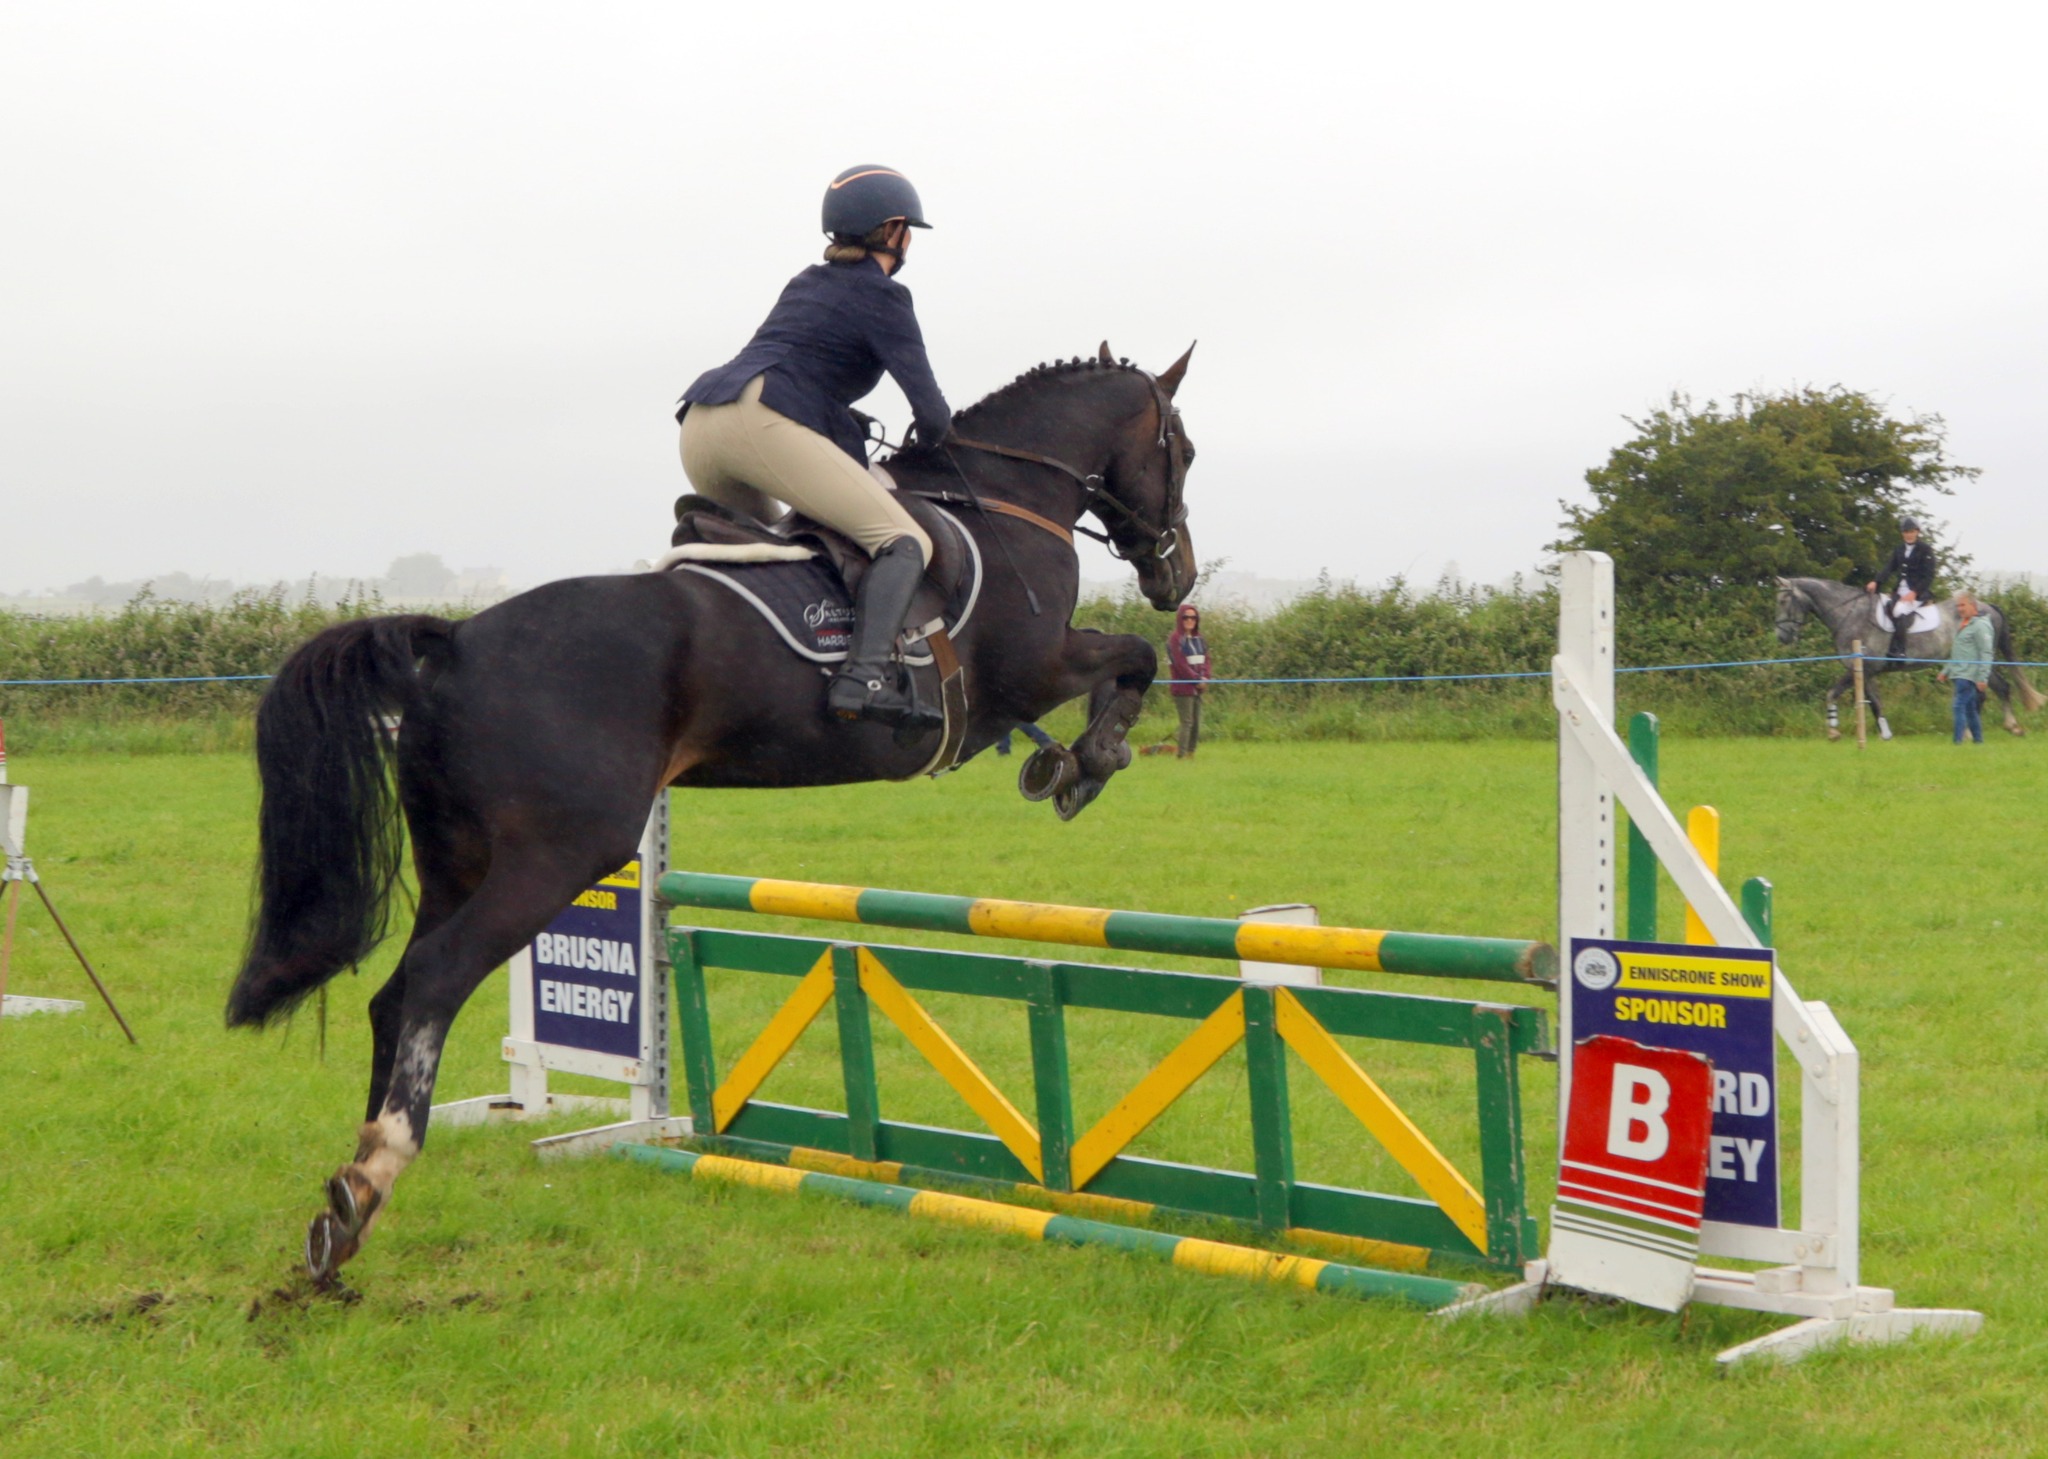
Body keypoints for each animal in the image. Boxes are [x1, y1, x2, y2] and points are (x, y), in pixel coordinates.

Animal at [226, 343, 1199, 1288]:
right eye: (1181, 450)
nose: (1174, 573)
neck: (1004, 498)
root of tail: (457, 640)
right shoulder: (1029, 671)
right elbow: (1135, 657)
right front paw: (1088, 761)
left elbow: (1129, 661)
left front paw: (1074, 760)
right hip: (560, 854)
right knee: (434, 978)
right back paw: (376, 1168)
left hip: (456, 860)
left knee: (395, 995)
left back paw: (344, 1210)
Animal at [1774, 576, 2045, 739]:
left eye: (1784, 600)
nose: (1782, 636)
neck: (1849, 614)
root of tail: (1988, 606)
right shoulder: (1864, 671)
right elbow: (1868, 701)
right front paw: (1873, 733)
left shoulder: (1862, 669)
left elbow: (1851, 697)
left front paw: (1845, 733)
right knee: (1996, 688)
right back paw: (1994, 728)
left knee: (1995, 688)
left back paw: (2003, 727)